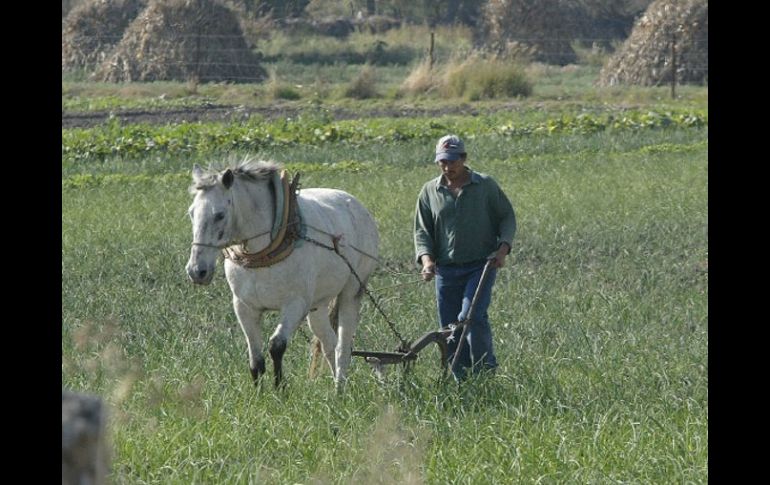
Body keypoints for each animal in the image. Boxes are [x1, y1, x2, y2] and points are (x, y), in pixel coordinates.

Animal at [186, 159, 378, 390]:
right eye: (191, 212)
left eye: (220, 214)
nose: (197, 271)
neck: (263, 254)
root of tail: (356, 204)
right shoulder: (244, 307)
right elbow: (256, 358)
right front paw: (259, 393)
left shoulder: (295, 304)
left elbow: (276, 345)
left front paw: (279, 389)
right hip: (318, 305)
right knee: (328, 343)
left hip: (352, 292)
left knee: (343, 346)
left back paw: (340, 387)